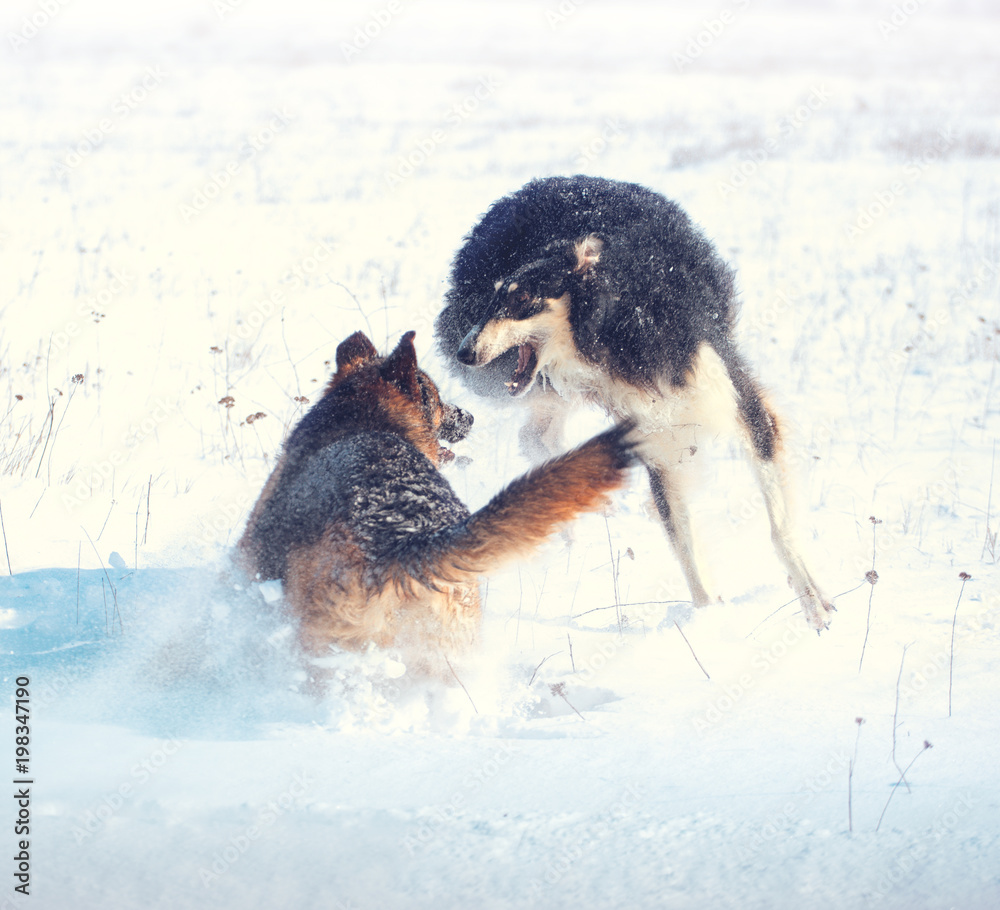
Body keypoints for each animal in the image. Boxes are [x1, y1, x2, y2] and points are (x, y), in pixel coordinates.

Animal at [434, 178, 832, 636]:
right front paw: (708, 621)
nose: (464, 352)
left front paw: (814, 605)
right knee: (535, 437)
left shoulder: (746, 412)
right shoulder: (654, 443)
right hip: (555, 390)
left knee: (538, 436)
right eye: (494, 299)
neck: (622, 329)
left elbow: (778, 529)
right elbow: (685, 547)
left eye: (522, 300)